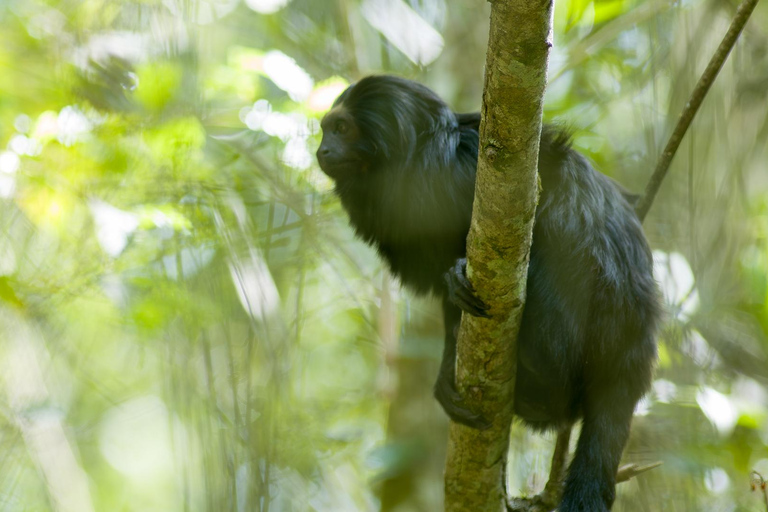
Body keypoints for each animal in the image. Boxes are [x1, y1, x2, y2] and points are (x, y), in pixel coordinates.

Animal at [316, 76, 664, 512]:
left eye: (342, 129)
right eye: (326, 130)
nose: (322, 150)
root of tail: (636, 348)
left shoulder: (461, 173)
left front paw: (460, 272)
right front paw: (447, 370)